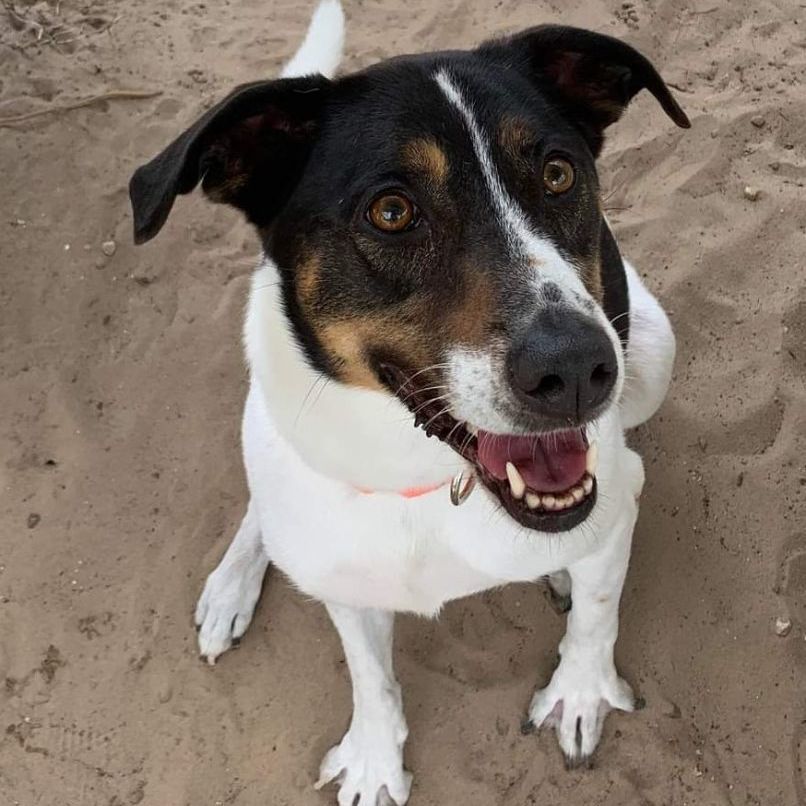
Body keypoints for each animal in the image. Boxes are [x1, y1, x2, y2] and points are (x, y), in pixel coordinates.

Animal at [129, 1, 692, 800]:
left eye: (558, 174)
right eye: (391, 212)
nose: (578, 369)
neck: (423, 481)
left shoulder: (613, 505)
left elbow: (596, 615)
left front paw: (580, 692)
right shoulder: (345, 579)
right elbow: (369, 675)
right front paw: (373, 759)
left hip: (652, 351)